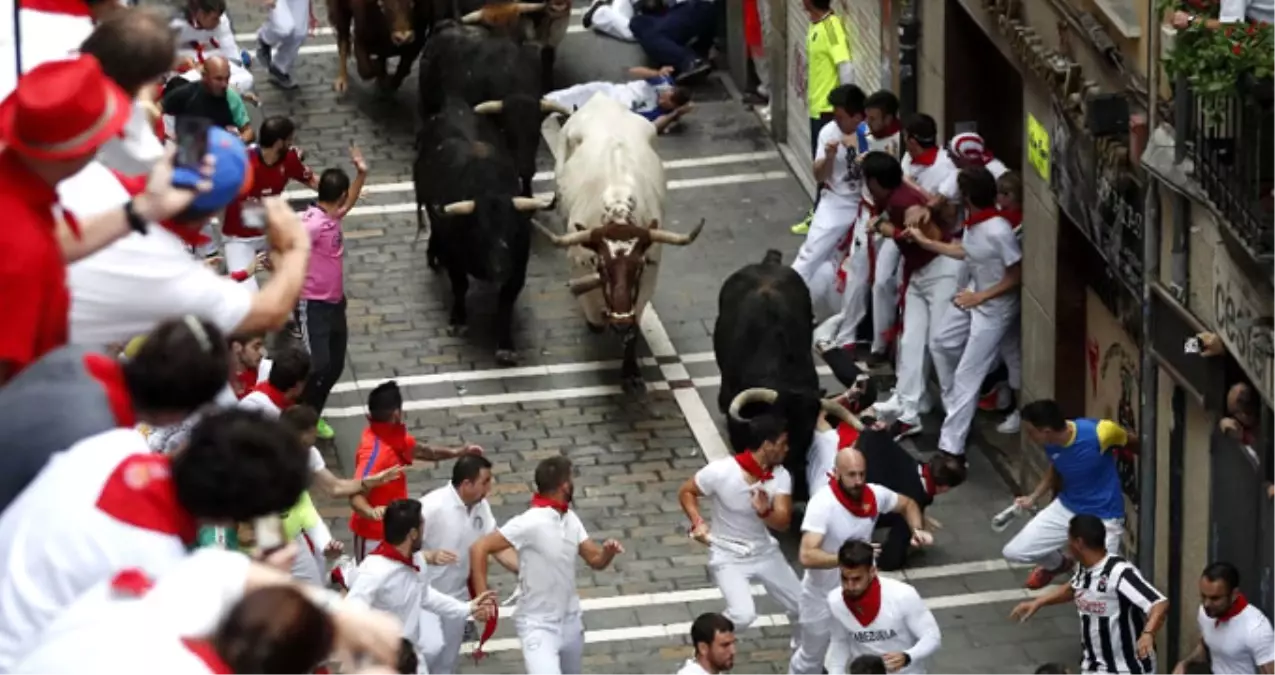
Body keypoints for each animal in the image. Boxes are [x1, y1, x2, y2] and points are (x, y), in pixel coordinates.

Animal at [530, 95, 708, 390]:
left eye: (638, 266)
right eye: (601, 266)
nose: (620, 320)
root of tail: (601, 98)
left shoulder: (647, 281)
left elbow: (633, 328)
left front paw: (630, 370)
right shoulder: (581, 269)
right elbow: (595, 317)